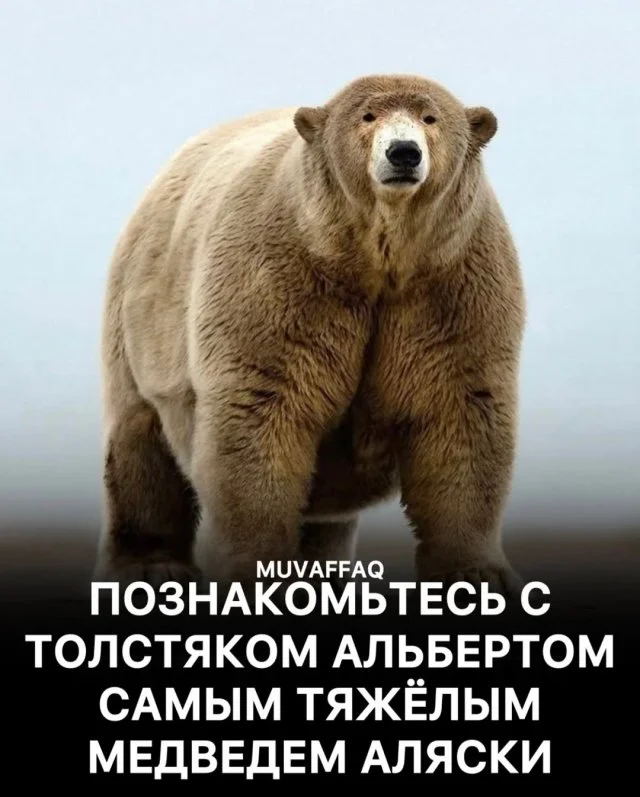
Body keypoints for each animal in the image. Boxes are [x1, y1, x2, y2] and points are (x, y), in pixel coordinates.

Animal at [94, 73, 525, 595]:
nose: (403, 153)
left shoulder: (450, 286)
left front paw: (477, 572)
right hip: (142, 321)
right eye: (367, 115)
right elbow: (262, 411)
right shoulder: (281, 278)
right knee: (140, 441)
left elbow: (460, 413)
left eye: (430, 117)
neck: (377, 260)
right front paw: (258, 568)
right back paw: (152, 564)